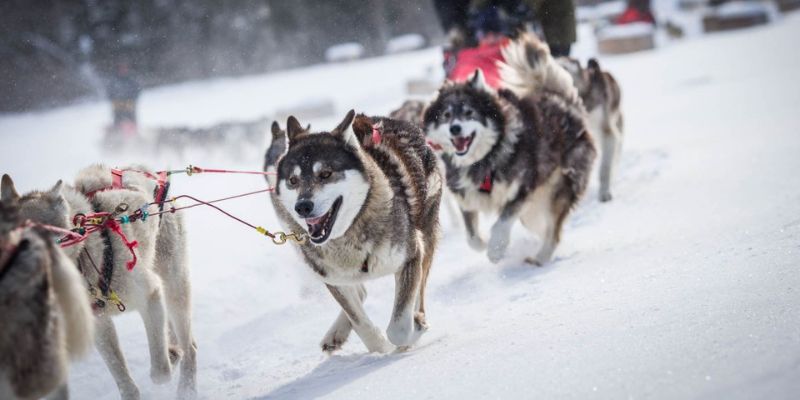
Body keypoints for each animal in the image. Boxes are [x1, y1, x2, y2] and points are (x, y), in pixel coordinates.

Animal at [2, 166, 196, 400]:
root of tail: (148, 172)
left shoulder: (151, 294)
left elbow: (160, 374)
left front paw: (170, 357)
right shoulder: (99, 324)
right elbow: (124, 381)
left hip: (173, 287)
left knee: (190, 348)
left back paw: (186, 387)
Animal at [270, 111, 444, 352]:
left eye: (325, 173)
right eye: (293, 180)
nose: (302, 206)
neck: (349, 233)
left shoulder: (411, 255)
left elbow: (399, 328)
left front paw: (413, 328)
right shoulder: (332, 278)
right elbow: (360, 322)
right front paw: (379, 348)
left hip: (425, 234)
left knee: (418, 290)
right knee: (359, 292)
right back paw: (336, 333)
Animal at [422, 33, 596, 266]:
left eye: (469, 112)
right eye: (446, 115)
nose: (455, 128)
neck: (484, 160)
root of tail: (560, 100)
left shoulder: (519, 191)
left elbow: (501, 224)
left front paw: (496, 249)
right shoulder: (466, 197)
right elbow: (471, 237)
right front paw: (485, 244)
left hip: (562, 186)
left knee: (553, 230)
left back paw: (540, 257)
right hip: (535, 205)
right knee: (543, 227)